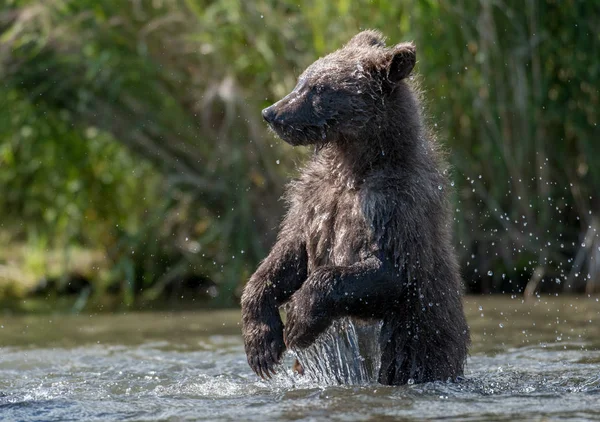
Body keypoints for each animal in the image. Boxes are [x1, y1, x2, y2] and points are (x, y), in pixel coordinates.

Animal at [241, 30, 472, 386]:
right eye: (302, 79)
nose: (272, 112)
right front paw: (262, 343)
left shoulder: (394, 205)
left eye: (319, 88)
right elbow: (287, 254)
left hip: (422, 350)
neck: (353, 166)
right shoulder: (313, 199)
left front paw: (297, 319)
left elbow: (388, 271)